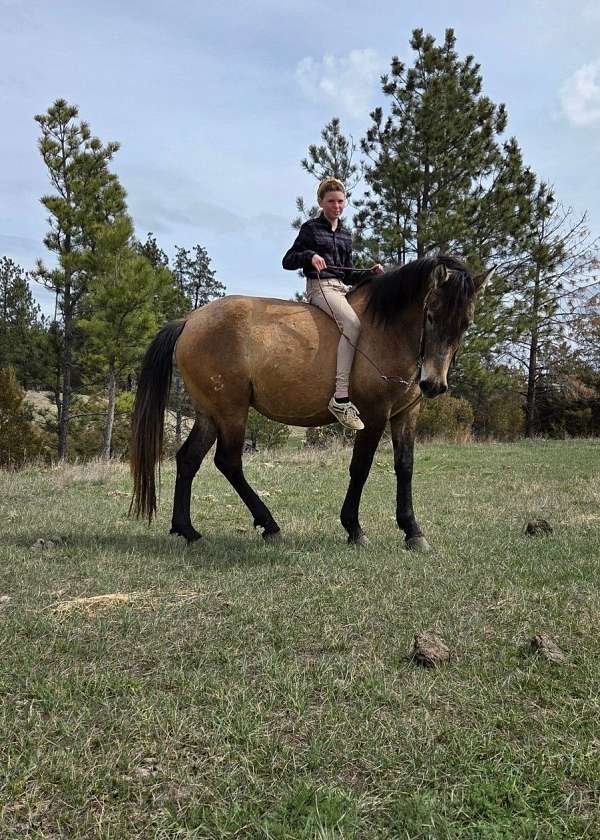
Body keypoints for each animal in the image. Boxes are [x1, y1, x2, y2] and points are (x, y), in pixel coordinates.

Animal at [130, 255, 493, 551]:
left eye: (466, 323)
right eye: (430, 315)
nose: (433, 384)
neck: (386, 330)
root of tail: (190, 321)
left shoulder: (406, 415)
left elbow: (405, 467)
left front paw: (413, 531)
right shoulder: (374, 415)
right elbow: (361, 467)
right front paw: (354, 528)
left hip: (210, 414)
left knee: (188, 460)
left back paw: (189, 531)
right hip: (231, 412)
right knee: (229, 463)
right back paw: (269, 525)